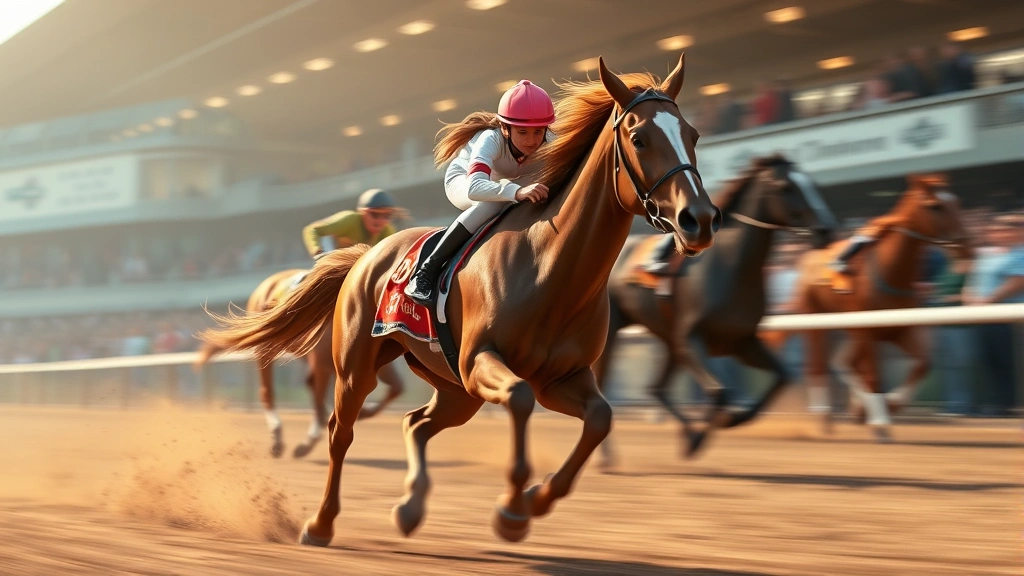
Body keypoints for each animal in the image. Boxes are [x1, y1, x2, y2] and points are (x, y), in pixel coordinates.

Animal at [193, 268, 405, 458]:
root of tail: (267, 282)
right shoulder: (324, 363)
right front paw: (309, 441)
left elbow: (396, 387)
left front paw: (363, 412)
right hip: (268, 347)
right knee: (268, 391)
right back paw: (277, 439)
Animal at [594, 155, 839, 467]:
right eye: (785, 187)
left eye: (812, 182)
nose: (826, 230)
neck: (730, 265)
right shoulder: (692, 338)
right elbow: (719, 391)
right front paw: (709, 431)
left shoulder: (740, 341)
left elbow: (782, 376)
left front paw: (729, 421)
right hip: (616, 332)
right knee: (603, 385)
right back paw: (607, 456)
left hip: (670, 340)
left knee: (655, 388)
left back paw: (684, 434)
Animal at [763, 173, 973, 441]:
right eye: (935, 206)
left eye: (956, 202)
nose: (966, 247)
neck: (891, 273)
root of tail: (806, 258)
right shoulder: (867, 331)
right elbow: (873, 375)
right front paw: (881, 423)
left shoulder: (901, 329)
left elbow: (923, 364)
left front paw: (889, 404)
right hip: (814, 319)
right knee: (818, 365)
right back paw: (825, 416)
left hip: (849, 329)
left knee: (842, 362)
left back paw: (858, 409)